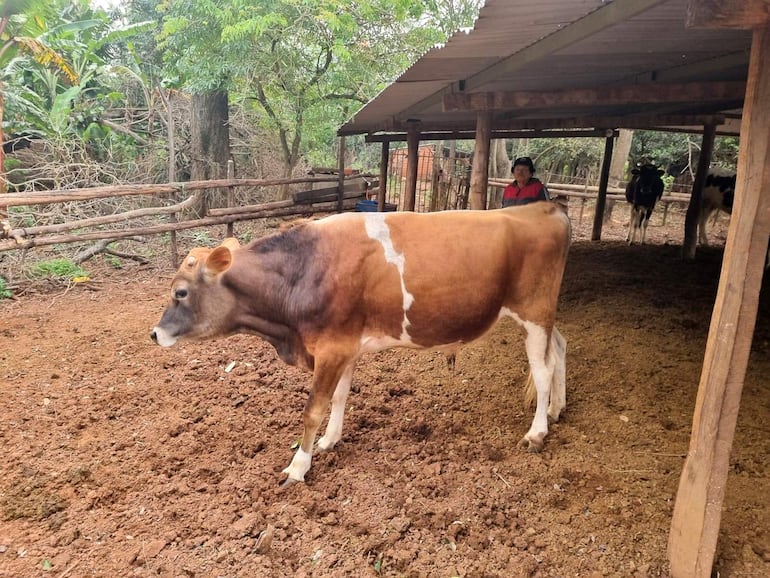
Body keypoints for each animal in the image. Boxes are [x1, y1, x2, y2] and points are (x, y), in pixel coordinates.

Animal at [152, 200, 568, 484]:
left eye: (181, 293)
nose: (154, 333)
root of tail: (544, 207)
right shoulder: (345, 344)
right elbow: (339, 397)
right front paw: (330, 440)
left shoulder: (332, 348)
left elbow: (313, 408)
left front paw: (298, 466)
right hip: (543, 315)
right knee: (560, 349)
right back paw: (555, 410)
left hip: (534, 310)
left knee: (542, 369)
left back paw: (537, 431)